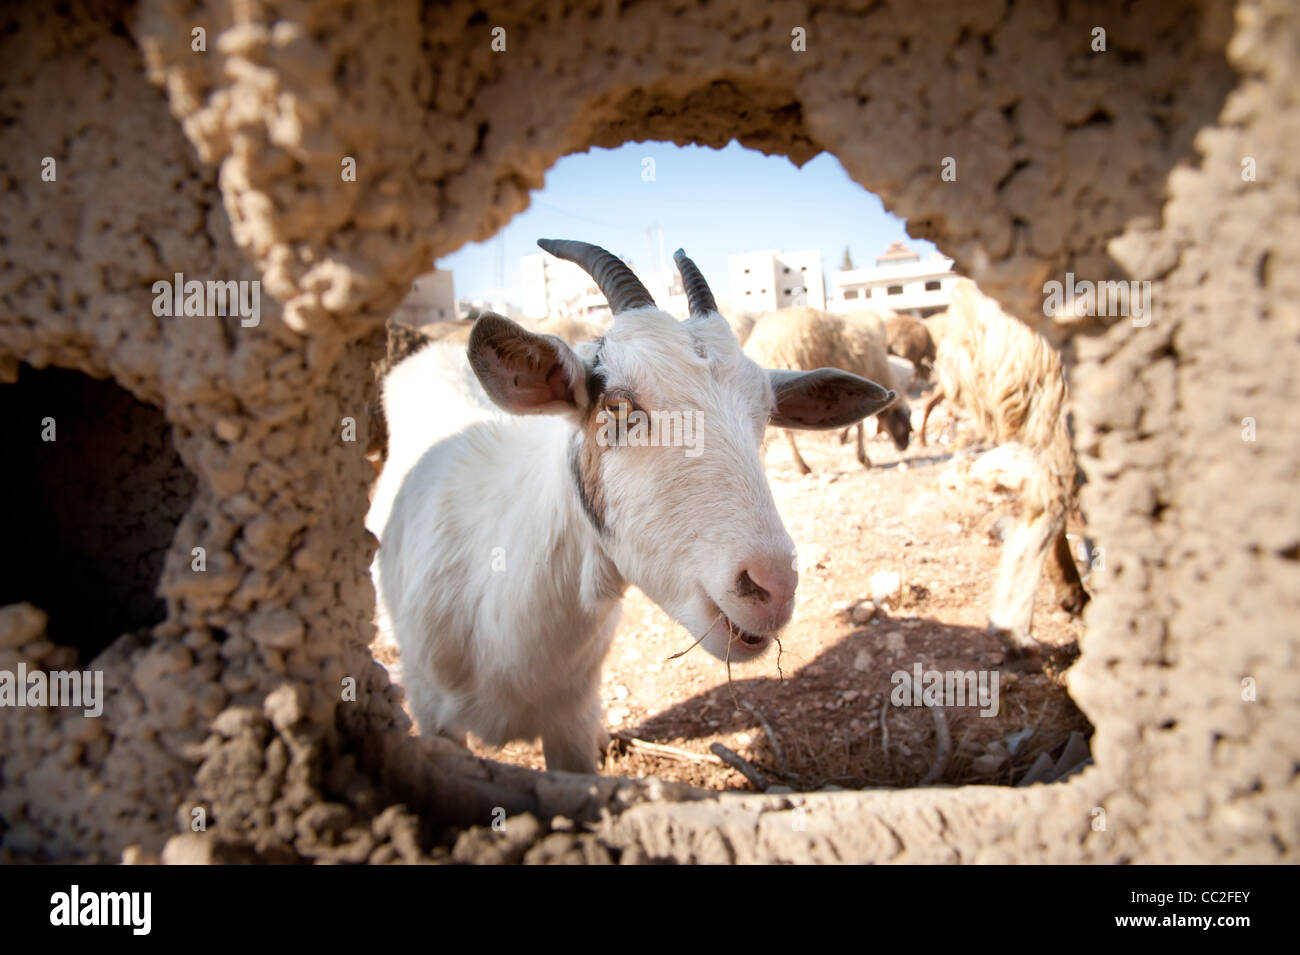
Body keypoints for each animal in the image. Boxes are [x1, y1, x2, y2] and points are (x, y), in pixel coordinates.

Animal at [743, 306, 915, 475]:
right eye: (903, 422)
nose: (904, 446)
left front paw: (845, 438)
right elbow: (860, 424)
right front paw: (862, 456)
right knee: (787, 434)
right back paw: (802, 466)